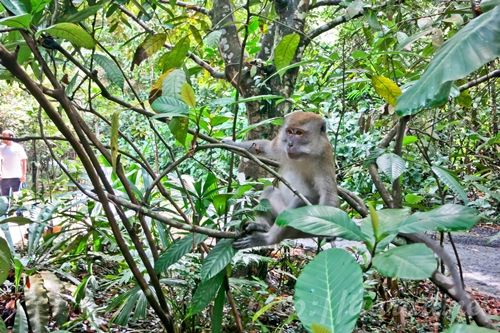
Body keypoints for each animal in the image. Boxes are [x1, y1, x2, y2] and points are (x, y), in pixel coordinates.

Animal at [224, 110, 338, 248]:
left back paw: (267, 239)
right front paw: (230, 143)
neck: (304, 154)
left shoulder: (324, 156)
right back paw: (263, 226)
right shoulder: (281, 144)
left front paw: (330, 231)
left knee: (299, 203)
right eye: (289, 131)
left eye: (299, 133)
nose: (290, 144)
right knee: (270, 192)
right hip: (280, 212)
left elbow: (328, 193)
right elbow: (266, 147)